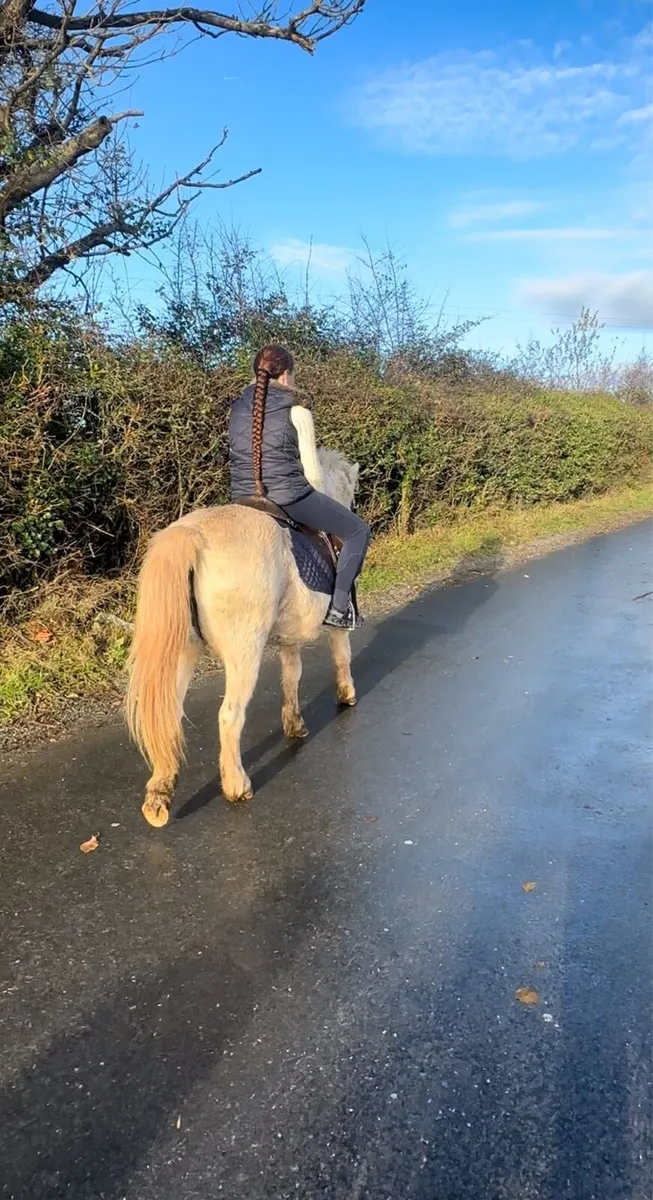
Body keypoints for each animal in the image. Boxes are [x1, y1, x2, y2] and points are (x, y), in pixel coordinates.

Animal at [125, 447, 360, 827]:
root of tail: (192, 533)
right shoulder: (337, 623)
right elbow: (341, 655)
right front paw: (346, 696)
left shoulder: (288, 640)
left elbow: (291, 677)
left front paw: (294, 724)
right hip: (244, 655)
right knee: (230, 715)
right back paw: (237, 785)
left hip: (182, 652)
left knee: (169, 715)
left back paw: (158, 797)